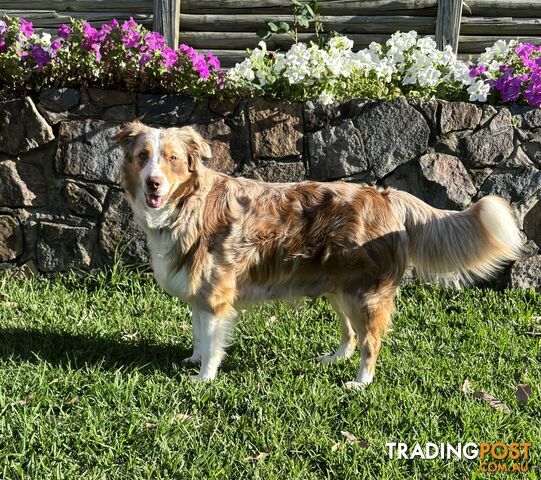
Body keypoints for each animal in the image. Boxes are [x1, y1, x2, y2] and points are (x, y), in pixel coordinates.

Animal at [114, 121, 524, 390]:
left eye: (171, 158)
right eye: (142, 156)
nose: (153, 183)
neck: (188, 203)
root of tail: (385, 195)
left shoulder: (217, 294)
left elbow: (213, 341)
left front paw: (204, 378)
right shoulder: (200, 292)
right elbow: (199, 333)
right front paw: (194, 360)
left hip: (365, 293)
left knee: (371, 342)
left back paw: (360, 382)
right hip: (338, 288)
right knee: (351, 334)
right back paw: (334, 358)